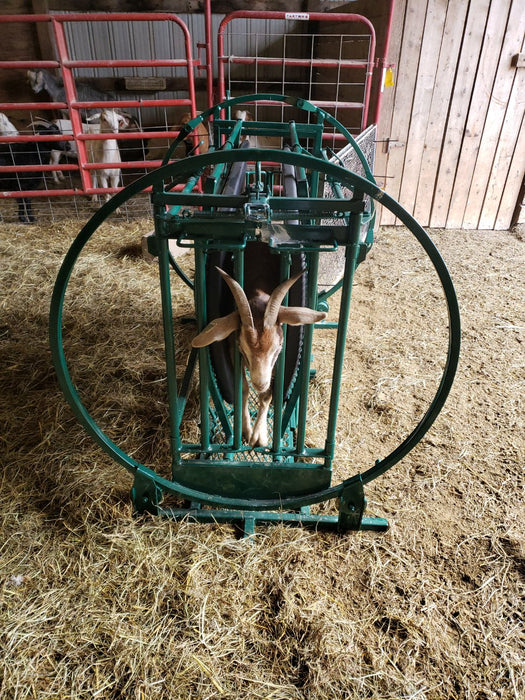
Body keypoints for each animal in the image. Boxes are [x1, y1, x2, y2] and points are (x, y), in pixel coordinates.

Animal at [192, 246, 326, 447]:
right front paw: (246, 430)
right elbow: (243, 390)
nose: (260, 382)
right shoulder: (233, 352)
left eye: (278, 347)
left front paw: (259, 436)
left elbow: (268, 394)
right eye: (242, 348)